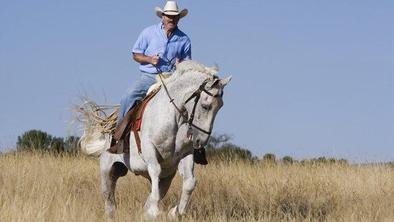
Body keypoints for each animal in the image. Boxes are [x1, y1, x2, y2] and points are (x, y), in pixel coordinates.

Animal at [79, 60, 231, 219]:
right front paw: (154, 211)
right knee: (110, 202)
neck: (173, 116)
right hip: (107, 171)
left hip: (165, 179)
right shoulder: (149, 148)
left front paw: (175, 212)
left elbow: (189, 182)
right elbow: (156, 170)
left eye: (220, 106)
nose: (201, 141)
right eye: (205, 106)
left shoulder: (186, 153)